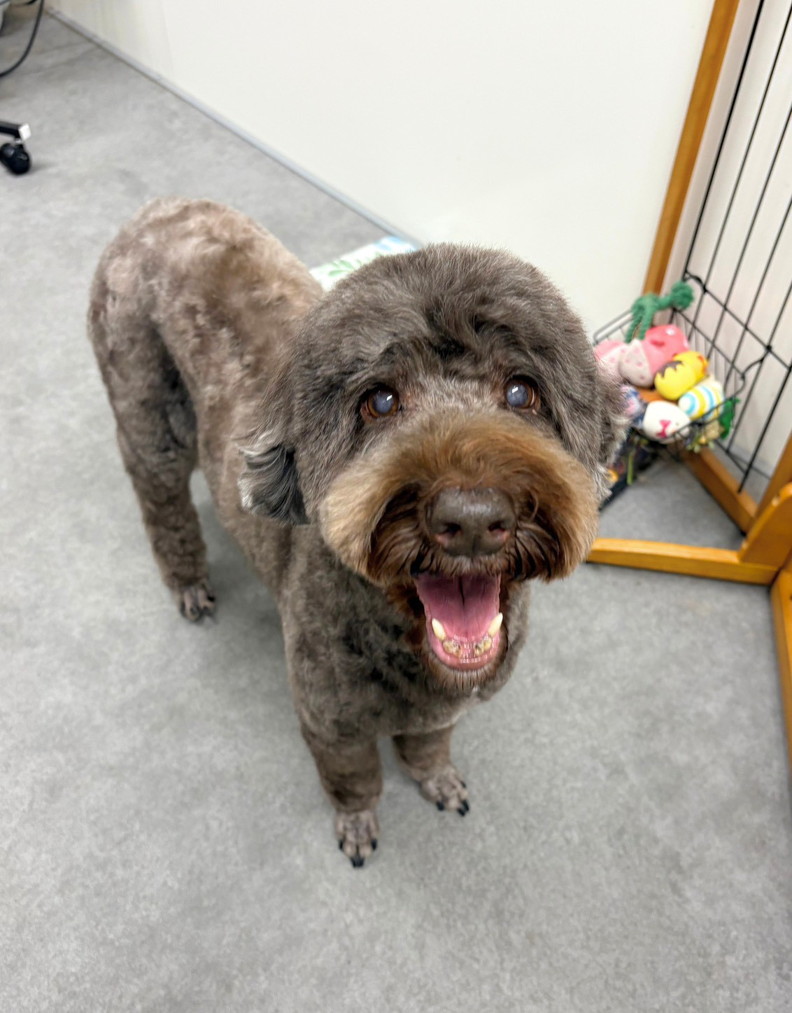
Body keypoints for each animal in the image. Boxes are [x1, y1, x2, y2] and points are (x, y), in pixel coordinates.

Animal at [89, 197, 623, 866]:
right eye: (380, 401)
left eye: (522, 391)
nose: (472, 518)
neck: (408, 643)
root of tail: (160, 210)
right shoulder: (329, 721)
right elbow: (353, 778)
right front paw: (358, 822)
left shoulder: (441, 711)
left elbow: (428, 746)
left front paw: (435, 778)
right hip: (147, 417)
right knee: (162, 502)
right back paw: (187, 580)